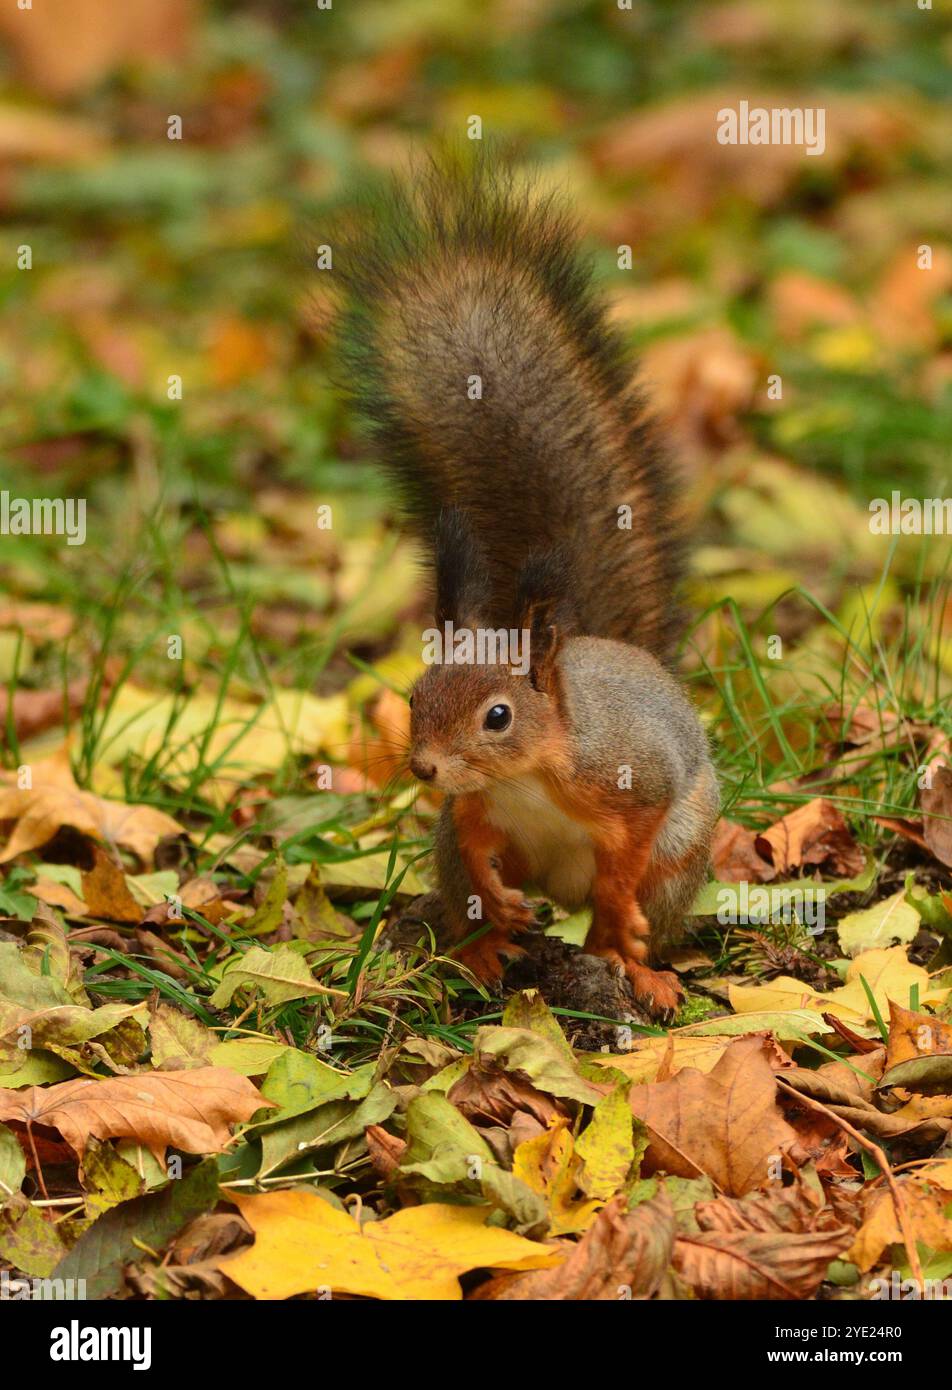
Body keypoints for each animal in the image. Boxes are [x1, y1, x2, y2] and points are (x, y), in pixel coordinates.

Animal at [335, 152, 719, 1018]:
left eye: (500, 716)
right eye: (416, 696)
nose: (424, 769)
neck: (528, 778)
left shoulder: (634, 777)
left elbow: (628, 852)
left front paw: (617, 907)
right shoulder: (472, 811)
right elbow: (478, 847)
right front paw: (495, 903)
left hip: (687, 851)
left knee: (636, 913)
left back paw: (631, 963)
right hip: (446, 846)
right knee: (468, 886)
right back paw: (485, 946)